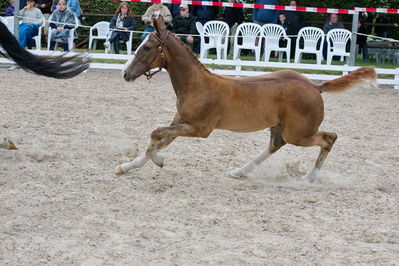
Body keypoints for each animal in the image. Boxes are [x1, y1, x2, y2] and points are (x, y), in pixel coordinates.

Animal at [118, 15, 378, 182]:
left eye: (147, 47)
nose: (125, 73)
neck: (197, 85)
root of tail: (315, 86)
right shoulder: (180, 122)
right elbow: (157, 140)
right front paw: (125, 167)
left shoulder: (200, 129)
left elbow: (155, 135)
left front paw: (158, 161)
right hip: (281, 128)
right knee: (276, 145)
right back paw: (239, 172)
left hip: (298, 133)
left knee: (329, 138)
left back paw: (309, 178)